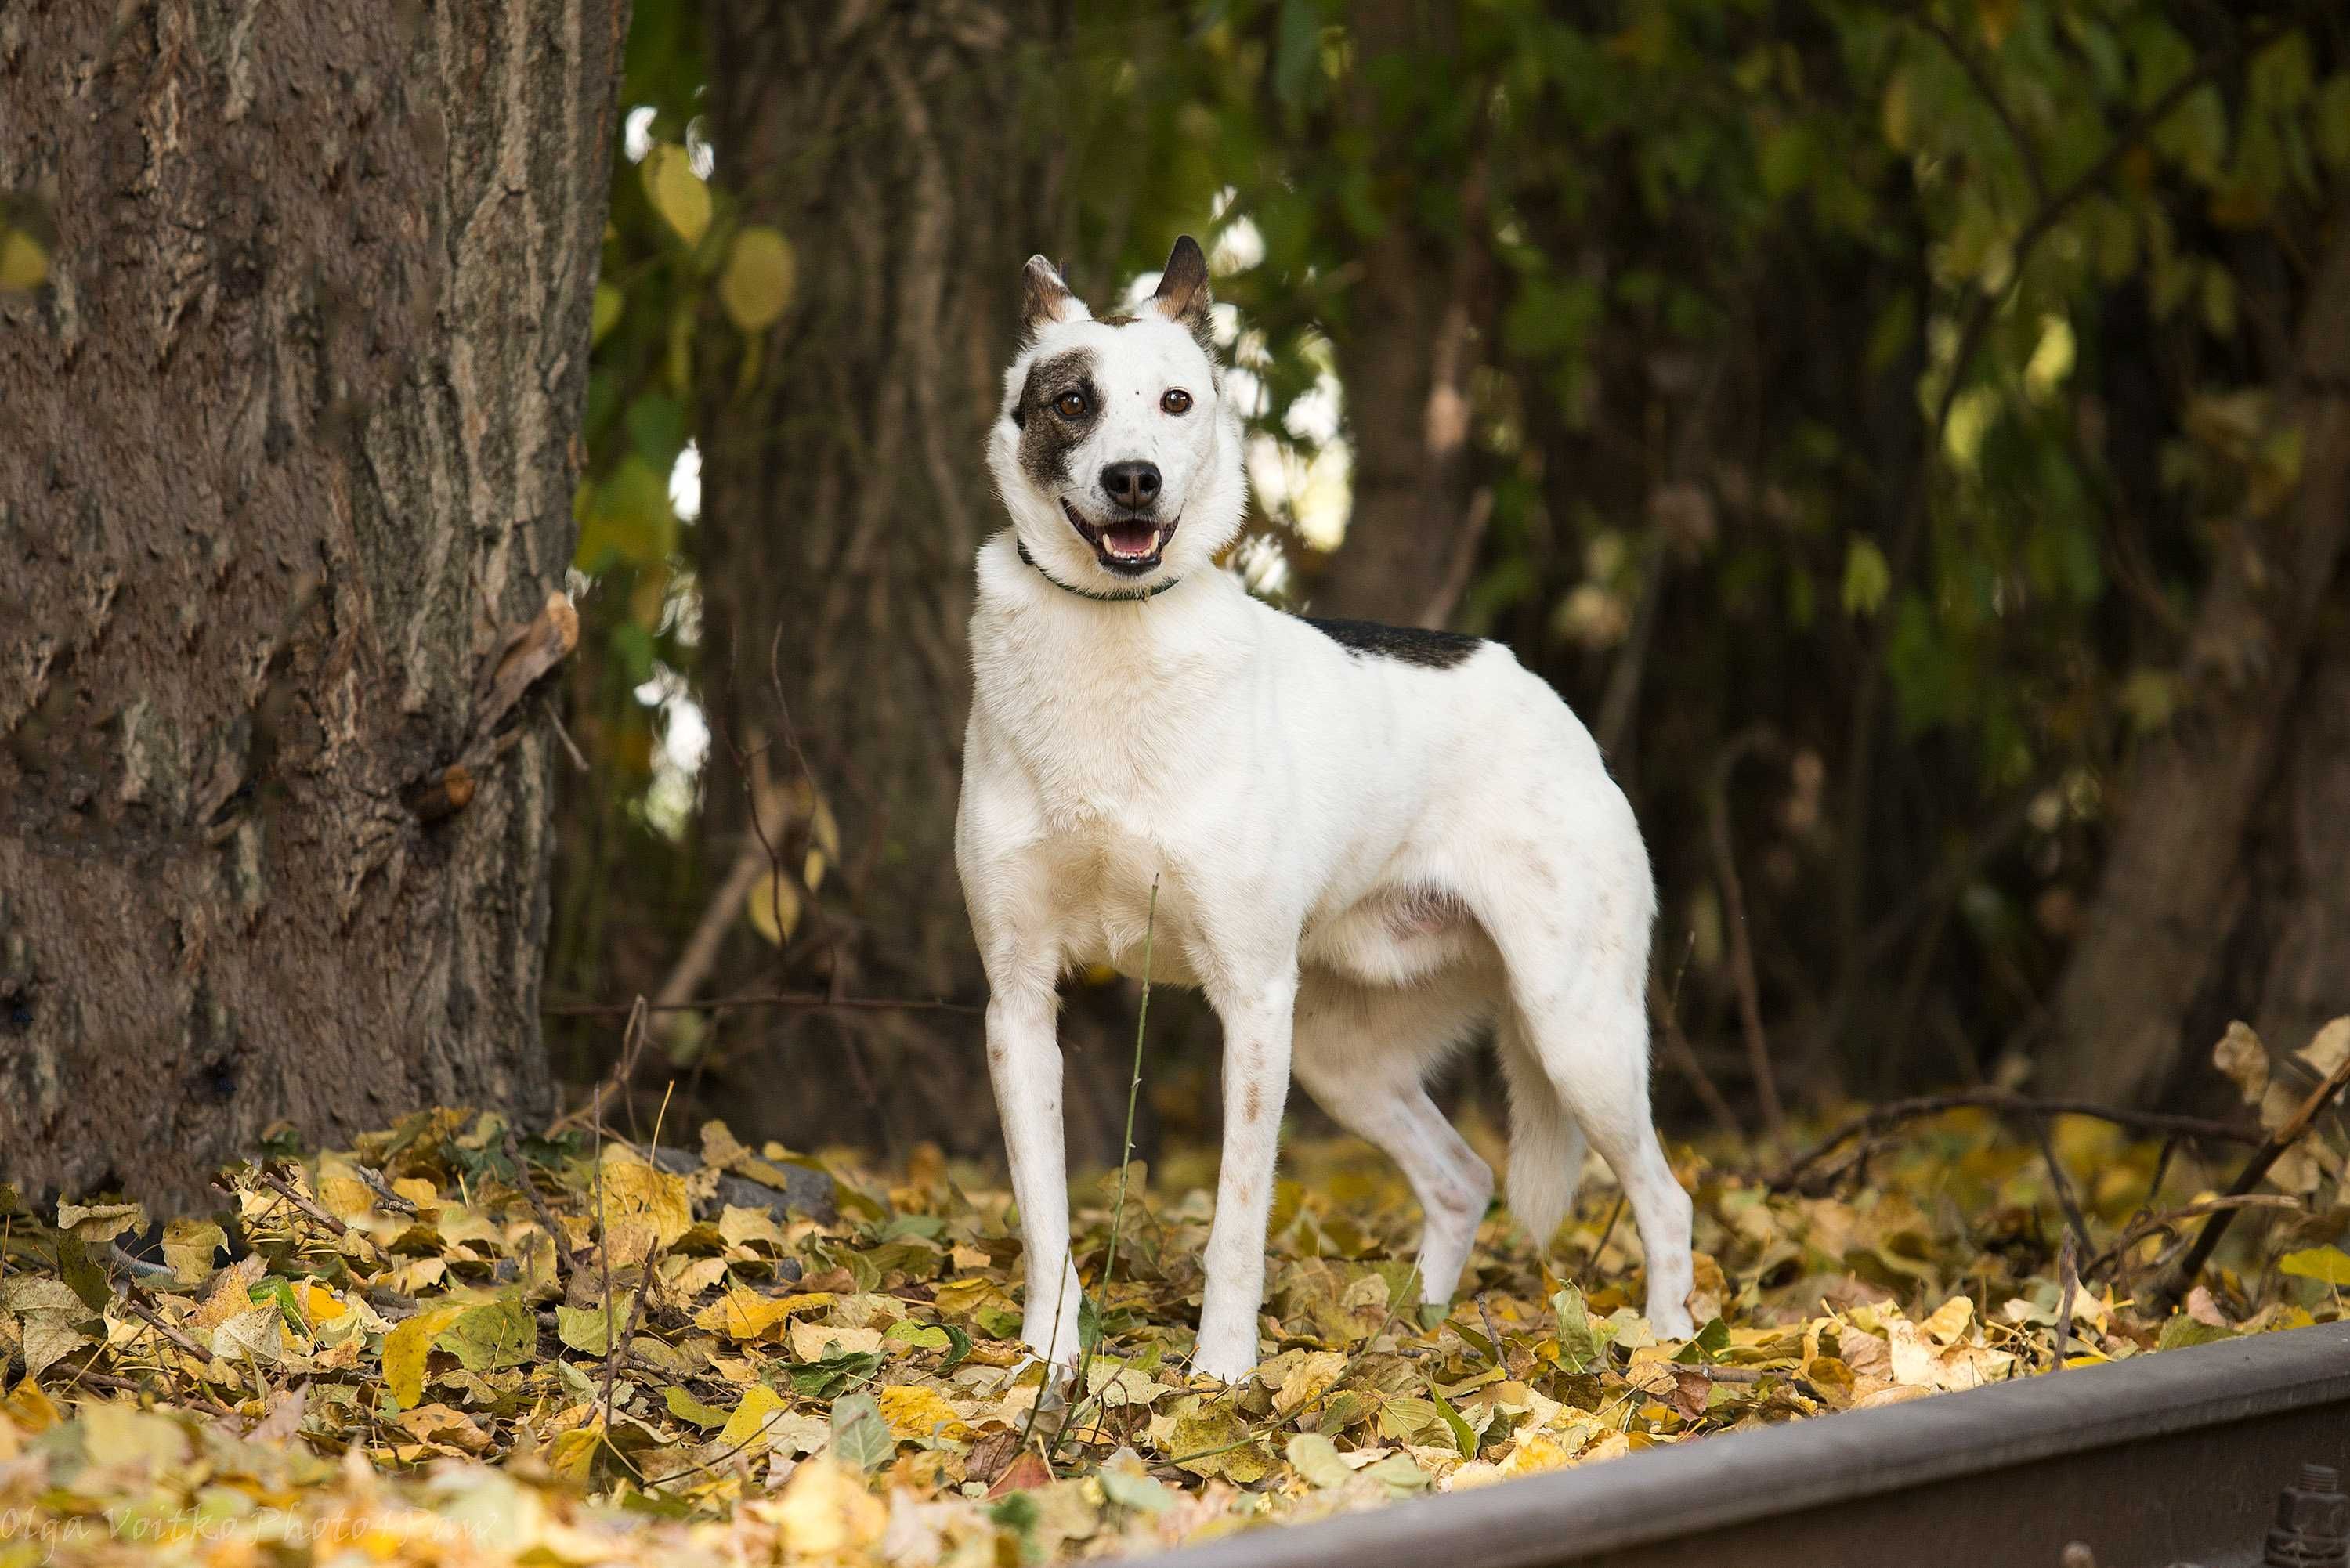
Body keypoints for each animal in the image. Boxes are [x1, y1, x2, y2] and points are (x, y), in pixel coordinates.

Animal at [954, 236, 1692, 1382]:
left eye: (1176, 401)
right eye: (1072, 402)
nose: (1134, 479)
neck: (1112, 637)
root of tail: (1549, 698)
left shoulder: (1255, 1001)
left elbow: (1237, 1223)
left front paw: (1220, 1375)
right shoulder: (1019, 1003)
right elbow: (1045, 1220)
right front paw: (1045, 1366)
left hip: (1577, 1031)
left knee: (1666, 1196)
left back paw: (1668, 1346)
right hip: (1348, 1056)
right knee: (1463, 1176)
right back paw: (1416, 1331)